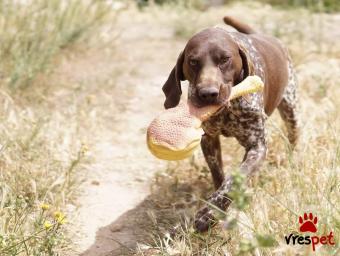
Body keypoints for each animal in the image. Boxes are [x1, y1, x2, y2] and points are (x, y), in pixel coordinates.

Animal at [161, 16, 298, 232]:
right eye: (193, 62)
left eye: (224, 59)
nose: (208, 94)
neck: (228, 109)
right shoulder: (209, 140)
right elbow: (220, 178)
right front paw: (216, 209)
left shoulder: (257, 146)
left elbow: (234, 181)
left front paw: (207, 214)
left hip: (290, 109)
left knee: (293, 137)